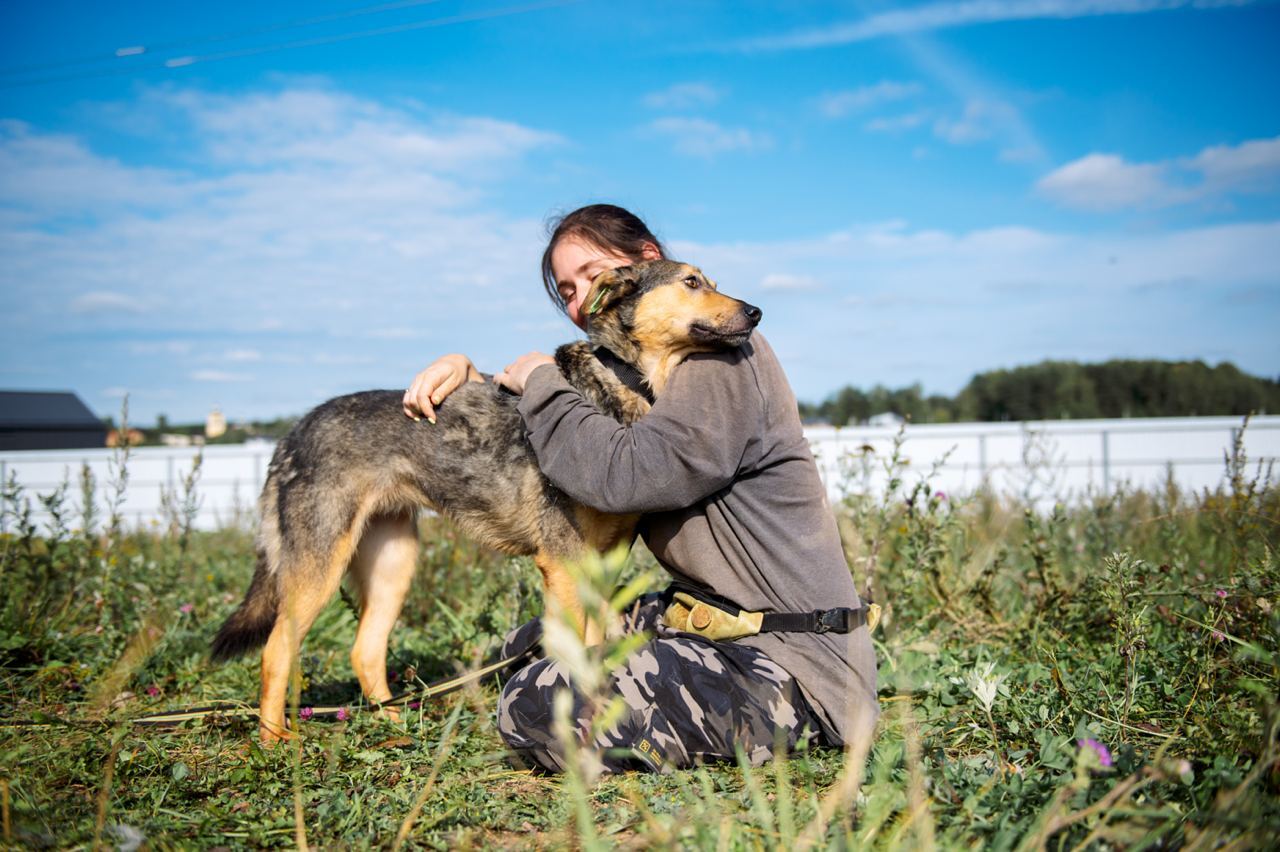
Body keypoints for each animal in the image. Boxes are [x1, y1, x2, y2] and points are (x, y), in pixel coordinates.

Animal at [209, 257, 757, 736]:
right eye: (691, 282)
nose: (756, 313)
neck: (626, 380)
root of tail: (291, 433)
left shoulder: (603, 564)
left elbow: (599, 646)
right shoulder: (563, 564)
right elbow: (577, 654)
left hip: (393, 565)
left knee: (364, 651)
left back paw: (394, 725)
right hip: (319, 566)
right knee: (276, 651)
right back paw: (275, 741)